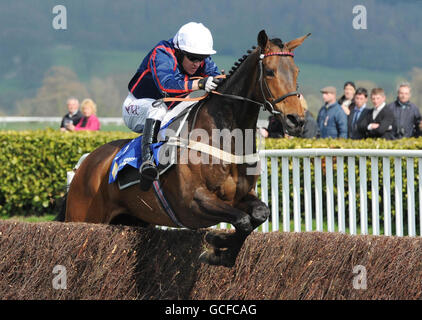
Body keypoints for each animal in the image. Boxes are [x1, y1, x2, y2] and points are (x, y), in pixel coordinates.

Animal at [64, 31, 312, 268]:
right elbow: (242, 220)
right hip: (83, 216)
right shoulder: (193, 201)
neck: (225, 136)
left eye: (297, 71)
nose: (296, 120)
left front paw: (221, 249)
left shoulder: (240, 196)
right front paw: (216, 244)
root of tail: (86, 163)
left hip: (133, 218)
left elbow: (258, 215)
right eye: (270, 71)